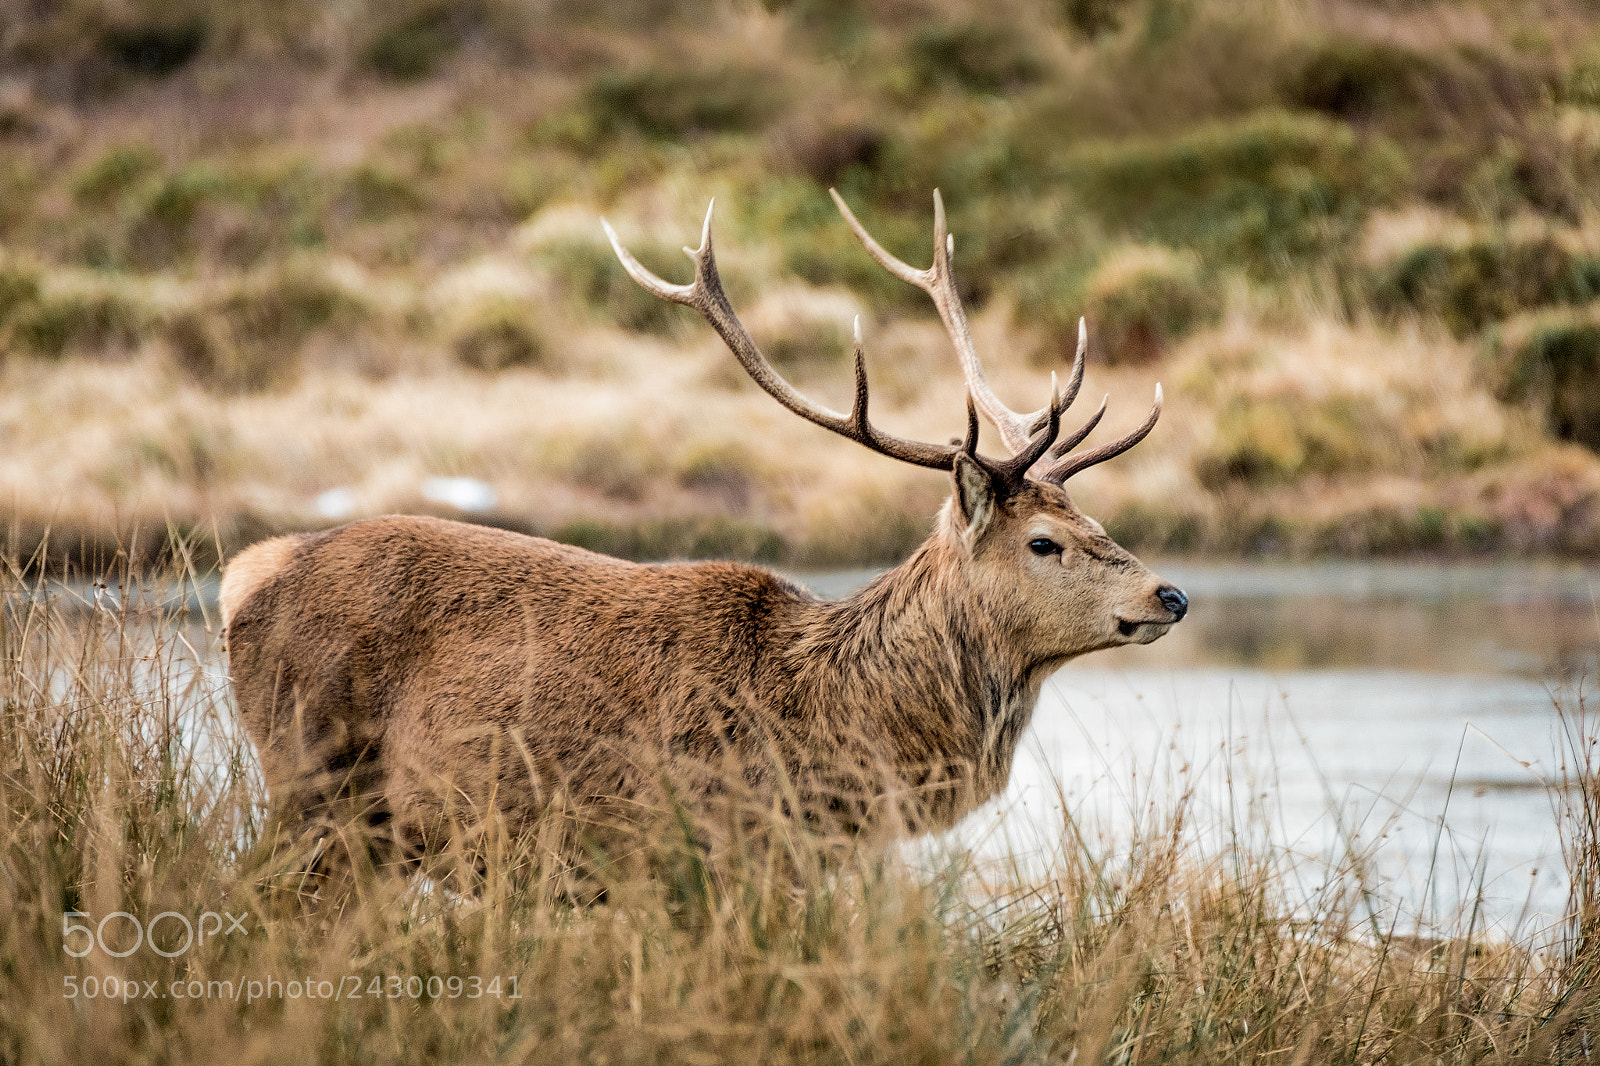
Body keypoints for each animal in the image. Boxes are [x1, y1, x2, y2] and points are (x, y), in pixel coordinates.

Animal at [220, 190, 1188, 877]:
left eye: (1098, 521)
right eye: (1043, 543)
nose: (1171, 593)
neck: (834, 730)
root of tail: (243, 577)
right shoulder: (692, 849)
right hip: (313, 778)